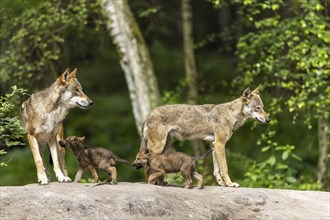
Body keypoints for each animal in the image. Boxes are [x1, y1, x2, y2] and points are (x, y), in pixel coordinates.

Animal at [141, 86, 270, 187]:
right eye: (258, 108)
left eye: (263, 107)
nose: (268, 119)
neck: (231, 115)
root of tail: (149, 115)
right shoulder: (220, 144)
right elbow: (224, 168)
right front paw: (230, 183)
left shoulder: (214, 145)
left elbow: (216, 170)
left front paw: (221, 183)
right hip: (159, 146)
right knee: (146, 165)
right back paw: (151, 183)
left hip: (166, 146)